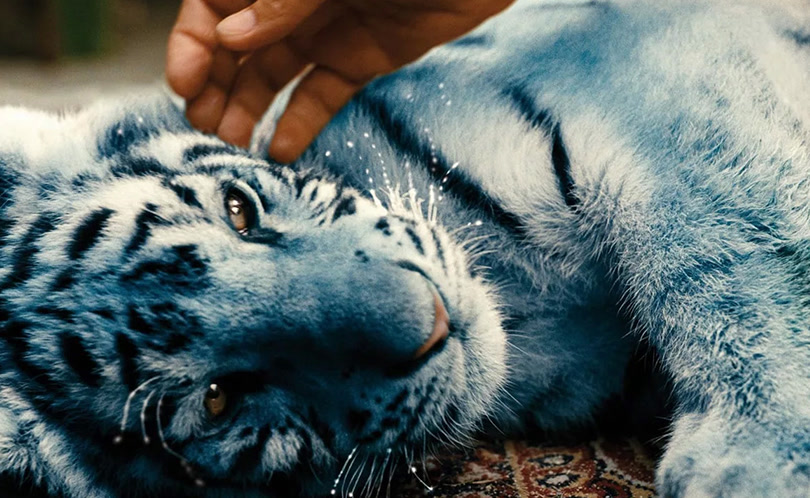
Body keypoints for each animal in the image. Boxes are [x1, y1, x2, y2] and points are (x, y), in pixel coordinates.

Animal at [2, 0, 810, 496]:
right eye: (219, 398)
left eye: (239, 210)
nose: (433, 320)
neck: (524, 310)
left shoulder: (631, 66)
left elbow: (719, 236)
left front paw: (762, 456)